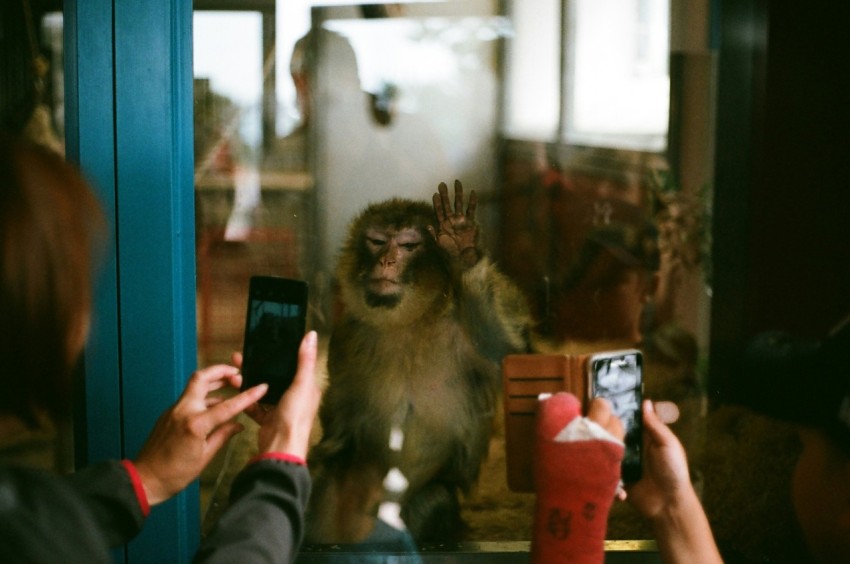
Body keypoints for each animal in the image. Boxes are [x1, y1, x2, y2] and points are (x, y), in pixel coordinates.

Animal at [305, 180, 532, 545]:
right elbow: (341, 408)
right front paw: (326, 445)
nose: (386, 260)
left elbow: (516, 360)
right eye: (377, 241)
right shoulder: (347, 334)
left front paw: (462, 251)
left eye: (408, 245)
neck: (410, 321)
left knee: (433, 499)